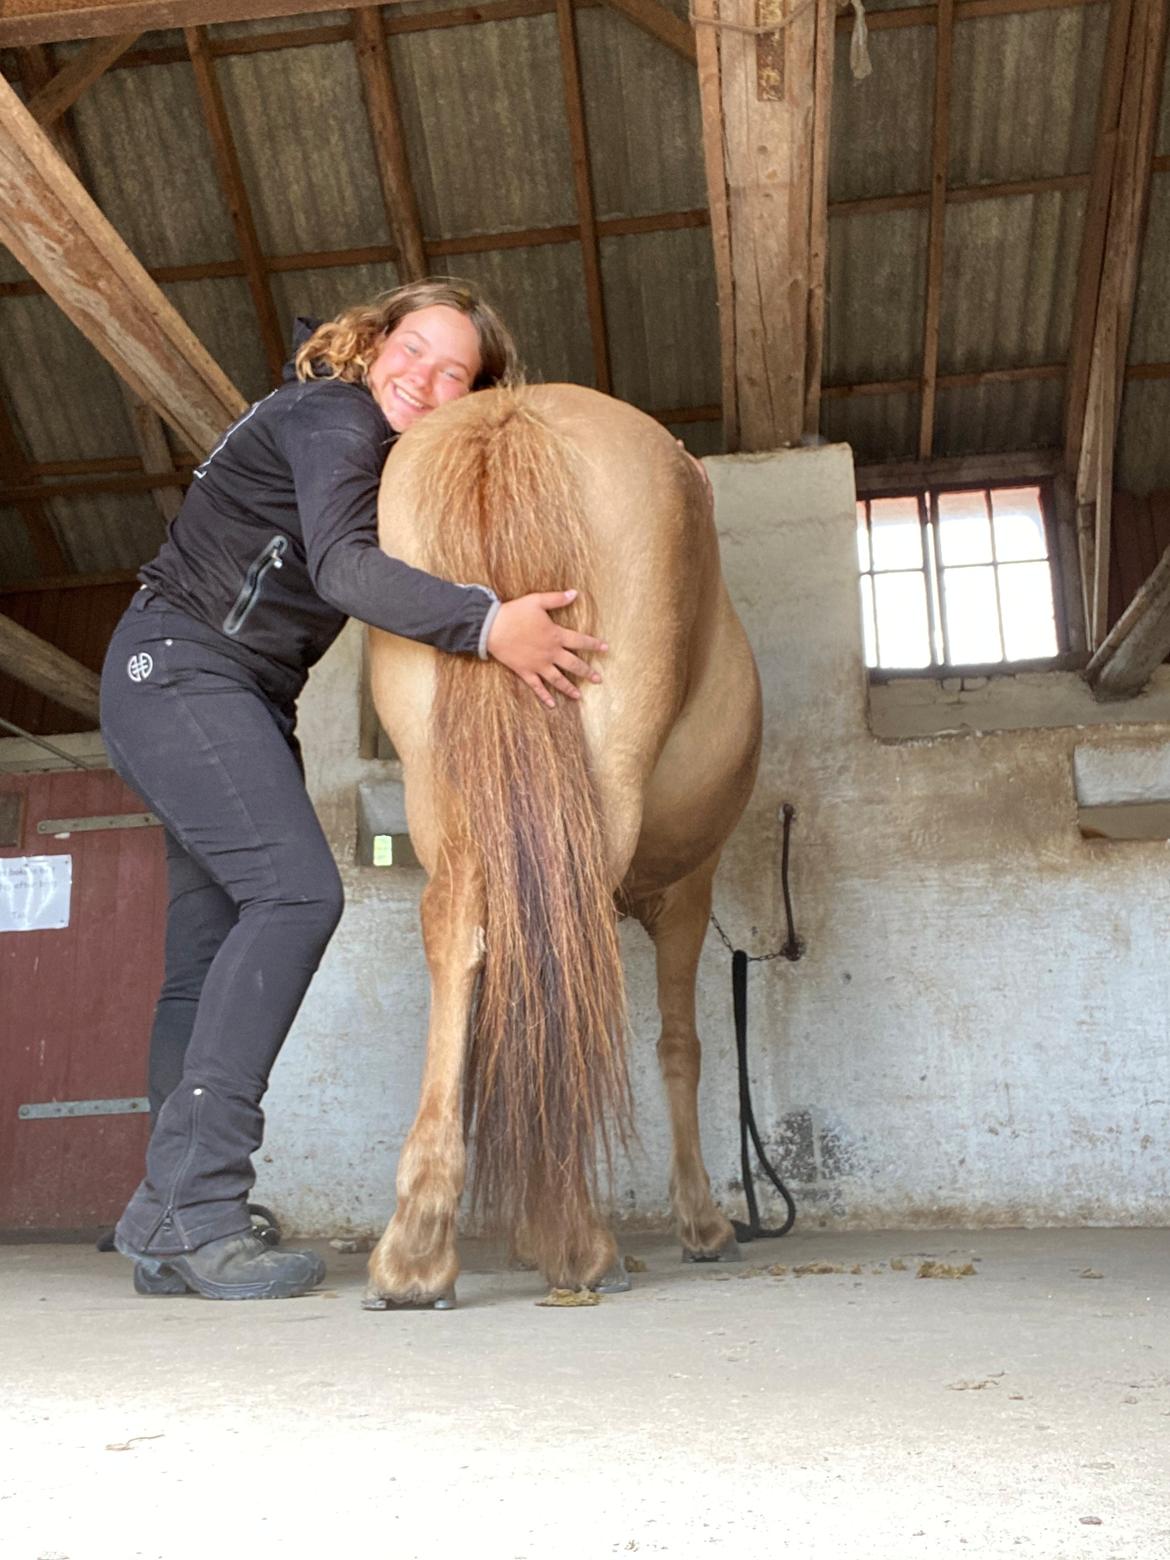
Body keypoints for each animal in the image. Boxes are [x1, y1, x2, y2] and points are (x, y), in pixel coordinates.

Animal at [368, 386, 770, 1304]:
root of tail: (510, 418)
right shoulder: (690, 892)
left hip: (443, 783)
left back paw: (419, 1246)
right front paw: (703, 1225)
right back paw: (582, 1242)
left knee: (460, 930)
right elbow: (680, 1049)